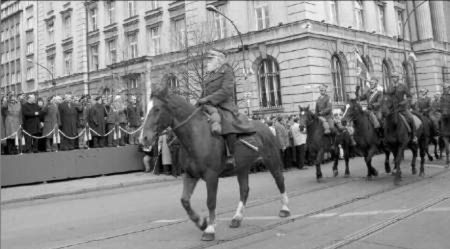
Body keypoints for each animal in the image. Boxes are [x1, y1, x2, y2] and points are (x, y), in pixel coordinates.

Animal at [139, 87, 290, 241]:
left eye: (157, 109)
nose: (143, 138)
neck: (195, 135)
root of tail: (266, 127)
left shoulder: (211, 176)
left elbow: (210, 201)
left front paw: (210, 229)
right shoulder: (190, 174)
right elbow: (185, 201)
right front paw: (201, 223)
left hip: (272, 160)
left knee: (280, 181)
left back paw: (285, 209)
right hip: (242, 167)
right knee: (244, 190)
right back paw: (237, 218)